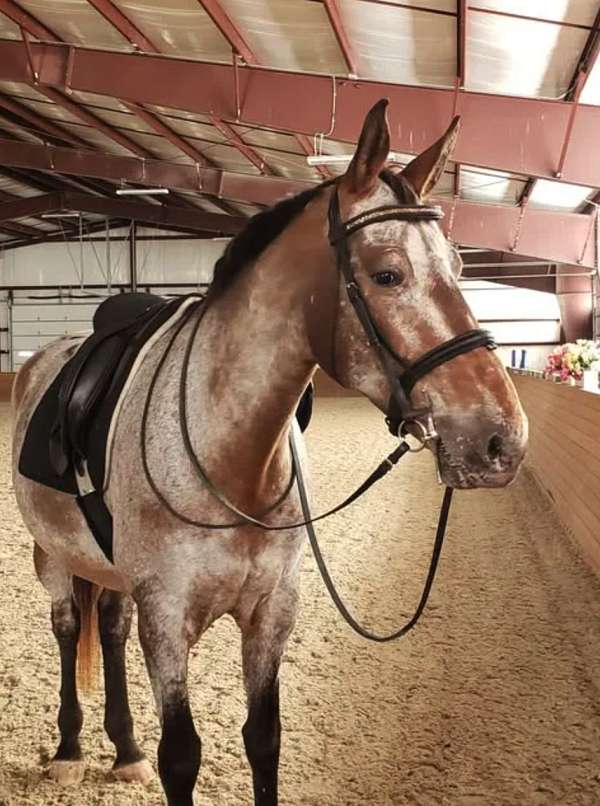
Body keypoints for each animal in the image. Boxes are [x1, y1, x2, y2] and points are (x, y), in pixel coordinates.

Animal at [11, 99, 527, 806]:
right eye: (387, 274)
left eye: (458, 267)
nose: (501, 439)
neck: (233, 458)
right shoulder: (167, 618)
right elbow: (181, 756)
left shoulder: (271, 612)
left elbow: (264, 740)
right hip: (56, 557)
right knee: (69, 628)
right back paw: (68, 750)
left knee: (109, 625)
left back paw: (124, 751)